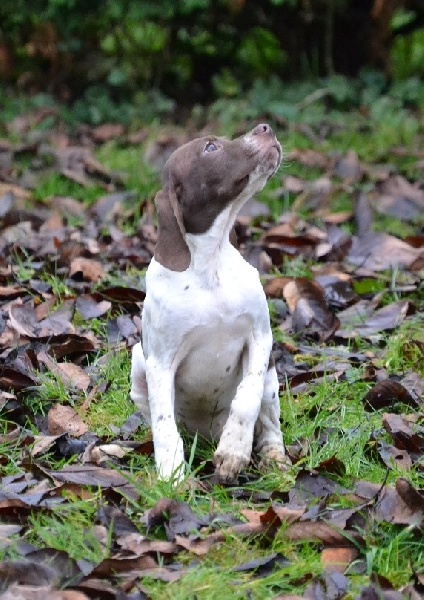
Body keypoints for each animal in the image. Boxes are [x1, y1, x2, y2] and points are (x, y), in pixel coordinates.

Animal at [131, 123, 286, 482]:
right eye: (211, 148)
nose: (265, 127)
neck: (210, 263)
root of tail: (205, 435)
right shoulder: (160, 362)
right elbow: (164, 425)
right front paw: (172, 476)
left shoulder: (261, 337)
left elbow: (247, 397)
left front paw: (233, 451)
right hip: (137, 364)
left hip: (272, 375)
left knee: (270, 425)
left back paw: (273, 457)